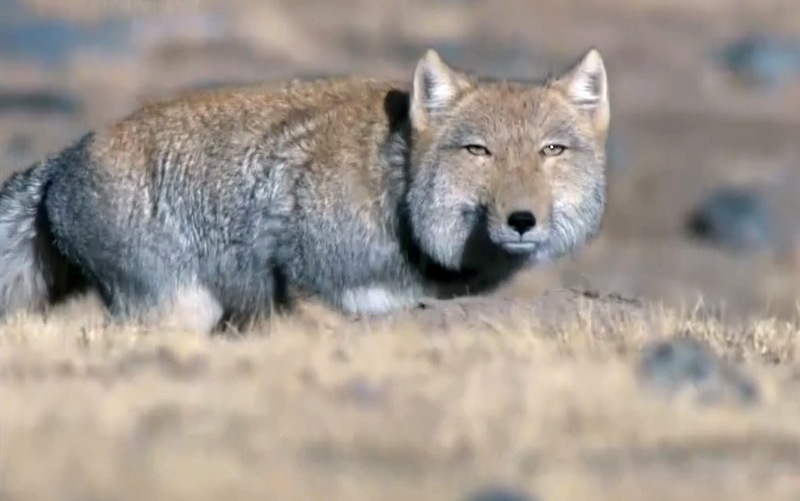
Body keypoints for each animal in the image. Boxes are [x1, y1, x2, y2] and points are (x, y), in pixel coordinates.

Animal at [0, 46, 612, 332]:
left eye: (551, 151)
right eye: (478, 151)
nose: (521, 220)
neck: (394, 195)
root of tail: (62, 160)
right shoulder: (313, 294)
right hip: (181, 311)